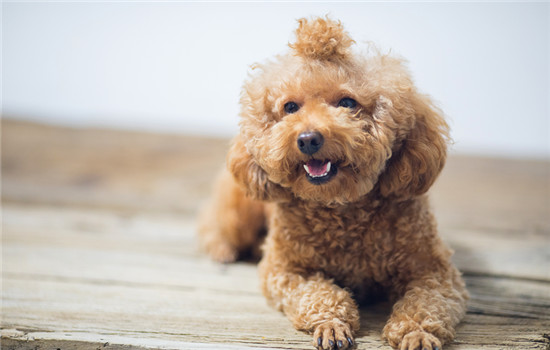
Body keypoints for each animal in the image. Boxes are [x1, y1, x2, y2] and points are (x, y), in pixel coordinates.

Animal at [198, 17, 470, 350]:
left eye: (347, 102)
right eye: (290, 107)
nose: (308, 139)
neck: (341, 209)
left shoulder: (434, 270)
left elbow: (425, 303)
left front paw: (417, 334)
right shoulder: (285, 271)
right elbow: (319, 293)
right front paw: (331, 325)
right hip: (242, 207)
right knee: (216, 221)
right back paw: (222, 248)